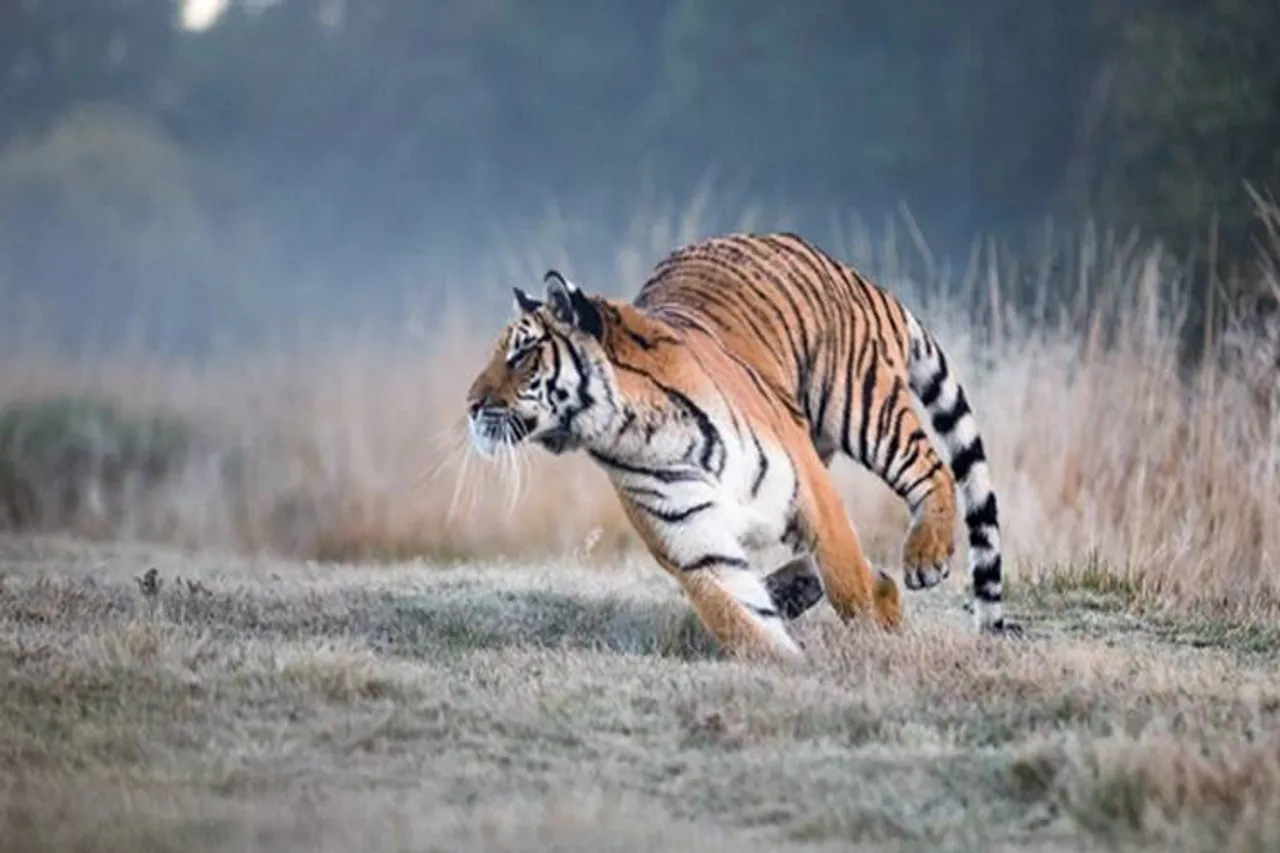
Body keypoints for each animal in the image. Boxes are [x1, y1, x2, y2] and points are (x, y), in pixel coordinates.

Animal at [465, 229, 1024, 660]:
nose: (470, 405)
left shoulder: (806, 485)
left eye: (521, 355)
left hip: (861, 407)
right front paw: (784, 663)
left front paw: (873, 635)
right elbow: (736, 612)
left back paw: (922, 557)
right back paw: (802, 587)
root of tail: (857, 275)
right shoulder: (691, 540)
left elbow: (847, 578)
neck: (633, 433)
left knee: (931, 467)